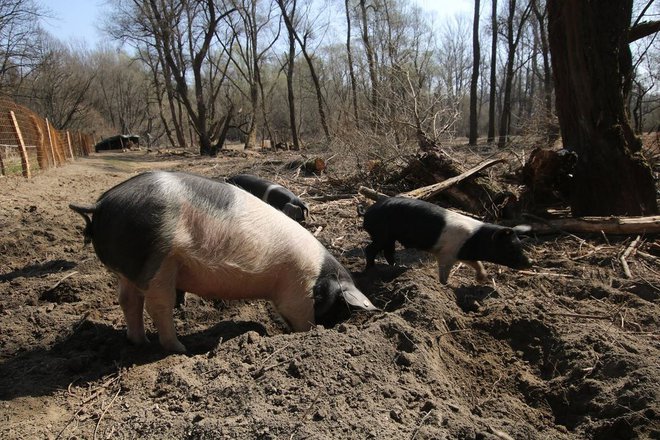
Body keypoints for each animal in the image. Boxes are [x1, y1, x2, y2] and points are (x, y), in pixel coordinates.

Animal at [71, 170, 376, 352]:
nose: (338, 327)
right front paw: (309, 335)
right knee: (158, 306)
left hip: (131, 269)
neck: (321, 278)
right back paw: (180, 350)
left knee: (128, 301)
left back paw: (140, 342)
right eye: (341, 306)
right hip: (159, 263)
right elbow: (300, 318)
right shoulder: (297, 292)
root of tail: (100, 205)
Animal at [364, 197, 532, 286]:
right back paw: (371, 270)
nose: (530, 262)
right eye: (510, 247)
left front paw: (481, 279)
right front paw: (445, 285)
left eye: (520, 245)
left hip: (389, 237)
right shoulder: (446, 254)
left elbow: (477, 263)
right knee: (370, 249)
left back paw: (397, 267)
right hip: (381, 234)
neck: (475, 240)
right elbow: (444, 271)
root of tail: (368, 212)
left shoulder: (462, 253)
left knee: (388, 252)